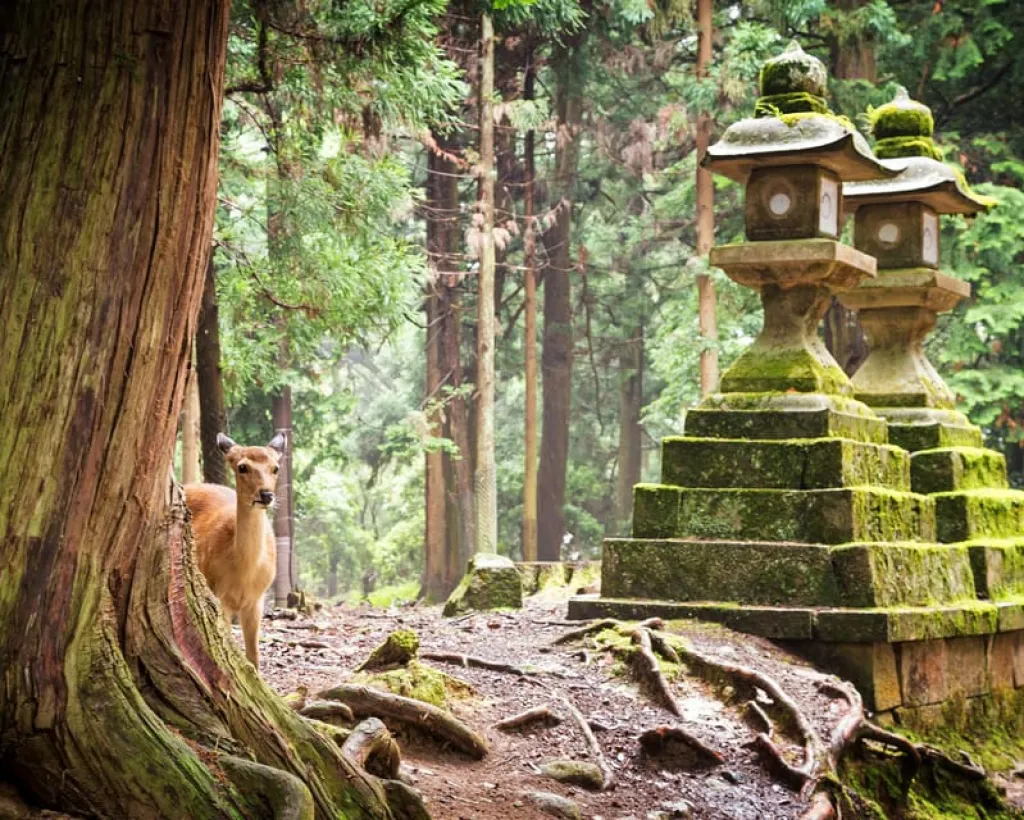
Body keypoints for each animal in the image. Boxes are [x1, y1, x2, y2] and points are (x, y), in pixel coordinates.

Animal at [184, 432, 284, 669]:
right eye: (242, 467)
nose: (266, 495)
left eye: (275, 468)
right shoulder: (220, 596)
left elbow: (254, 657)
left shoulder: (257, 599)